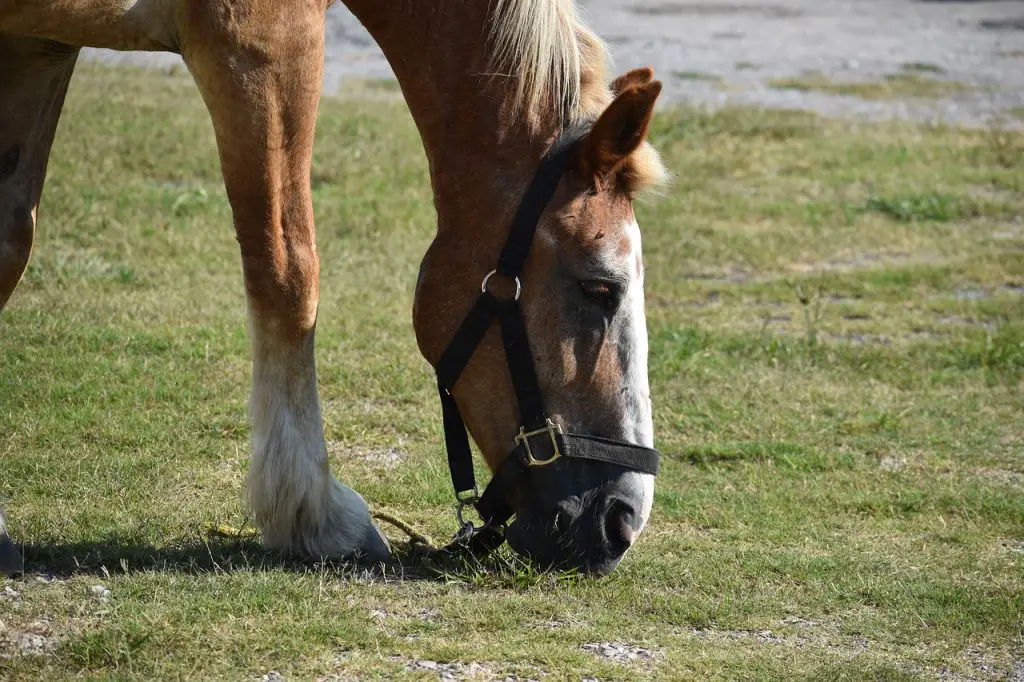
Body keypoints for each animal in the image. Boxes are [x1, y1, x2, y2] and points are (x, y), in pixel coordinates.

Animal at [0, 0, 667, 573]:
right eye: (599, 288)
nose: (622, 522)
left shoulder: (39, 44)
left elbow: (11, 242)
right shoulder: (265, 43)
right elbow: (289, 270)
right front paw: (314, 516)